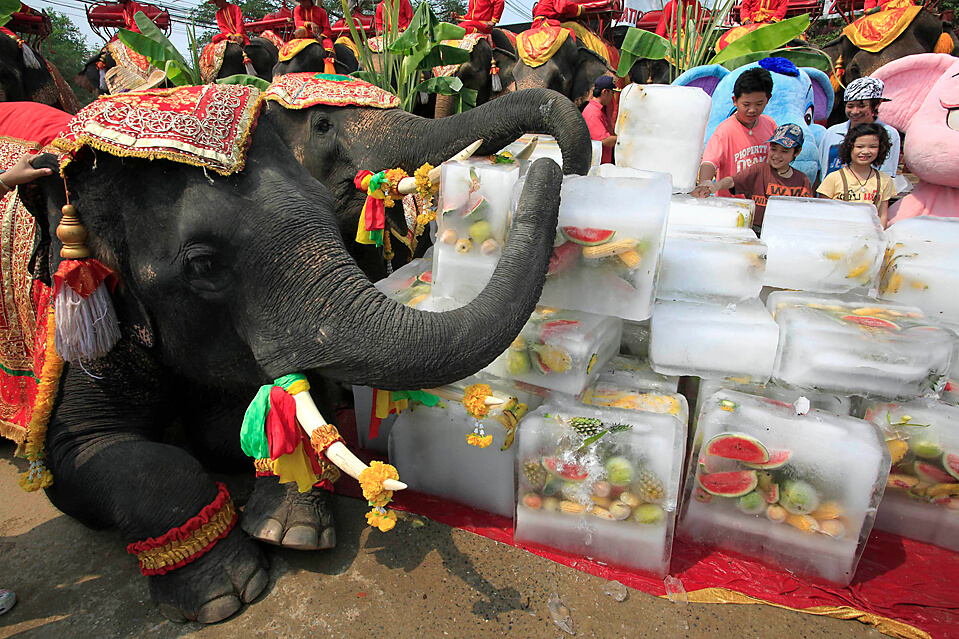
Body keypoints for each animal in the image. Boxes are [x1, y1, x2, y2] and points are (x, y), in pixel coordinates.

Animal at [15, 89, 564, 624]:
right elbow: (89, 450)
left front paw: (289, 532)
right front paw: (225, 594)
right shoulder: (79, 331)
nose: (553, 165)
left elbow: (229, 428)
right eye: (203, 264)